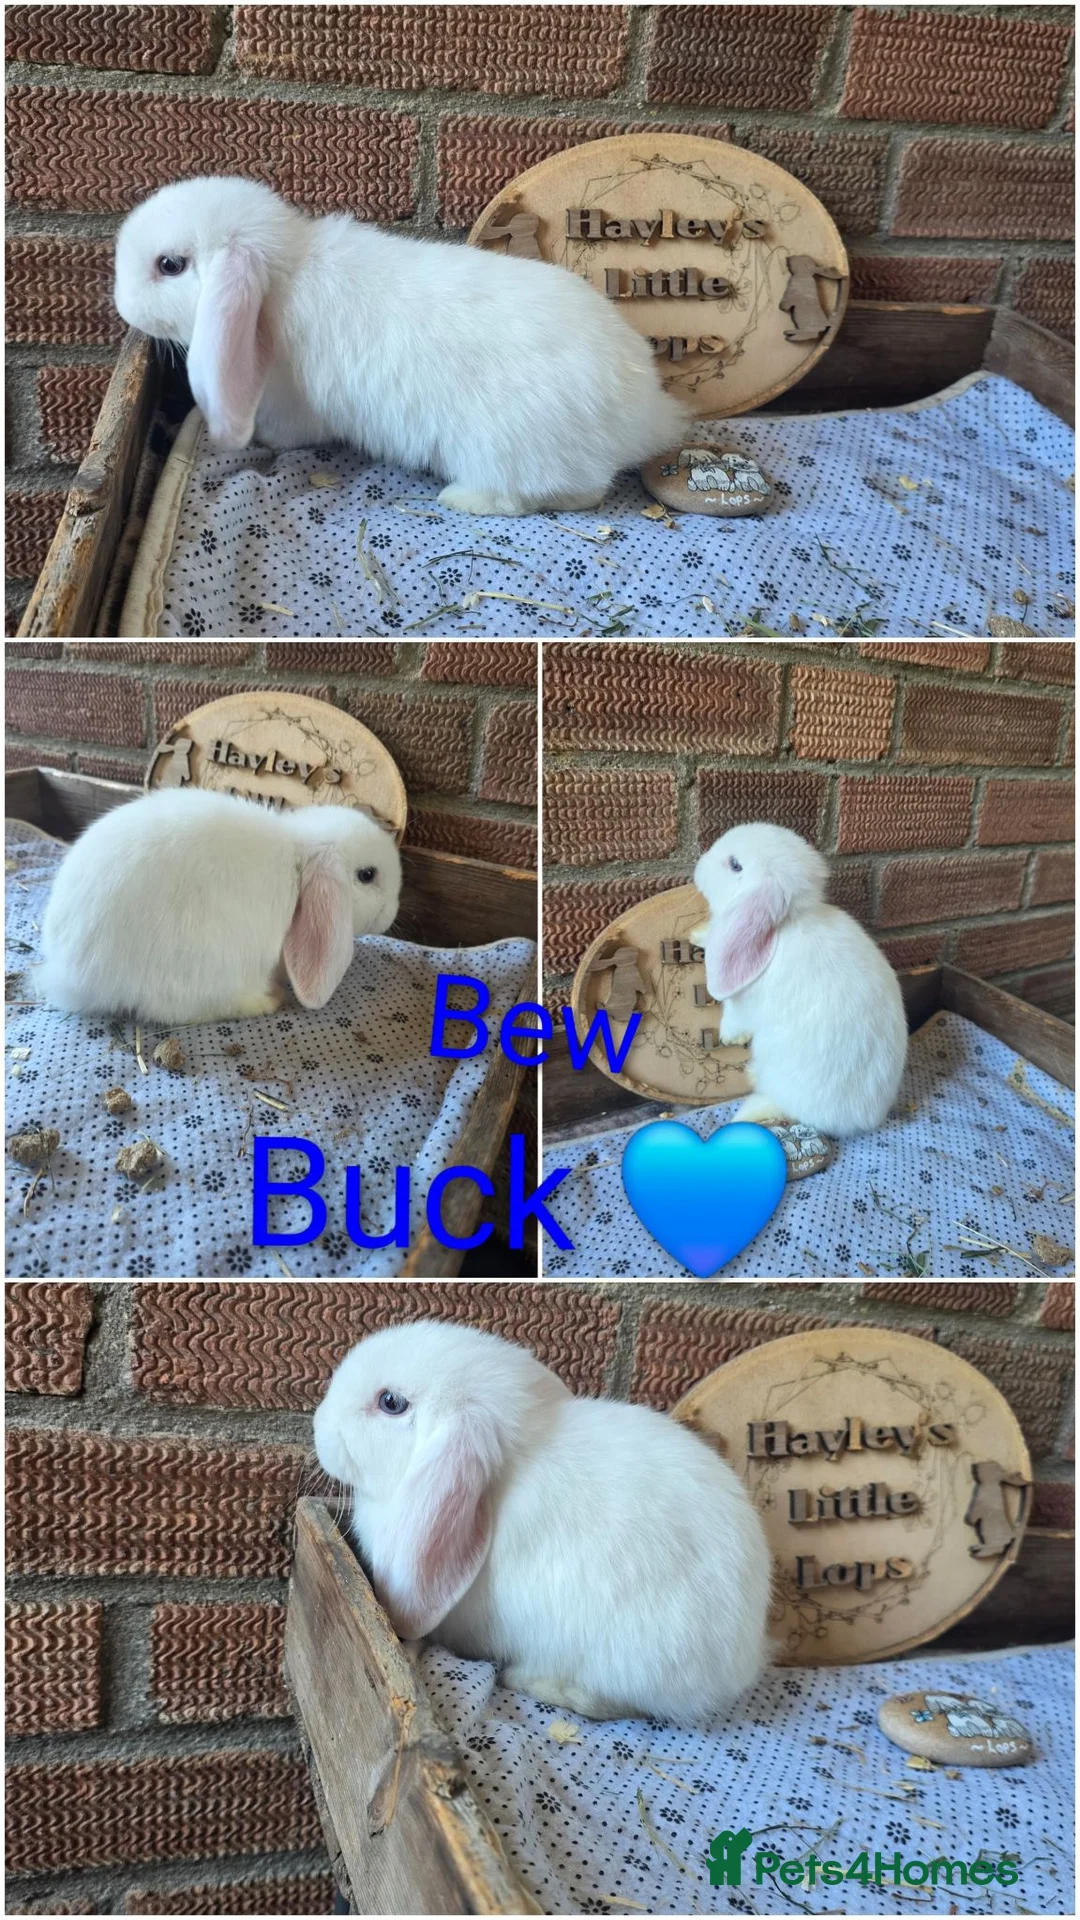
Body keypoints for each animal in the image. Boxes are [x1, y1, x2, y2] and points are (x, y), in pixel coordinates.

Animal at [38, 786, 401, 1024]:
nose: (392, 913)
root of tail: (71, 975)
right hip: (201, 966)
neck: (298, 865)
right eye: (367, 875)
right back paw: (268, 1001)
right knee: (175, 1012)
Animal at [113, 174, 690, 516]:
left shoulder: (291, 406)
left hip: (507, 448)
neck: (281, 277)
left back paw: (462, 498)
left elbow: (288, 435)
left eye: (170, 265)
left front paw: (261, 443)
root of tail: (646, 416)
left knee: (571, 492)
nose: (122, 306)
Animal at [690, 821, 907, 1137]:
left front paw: (729, 1036)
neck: (787, 923)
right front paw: (697, 935)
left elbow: (732, 1014)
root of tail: (867, 1118)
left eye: (735, 865)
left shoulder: (744, 1000)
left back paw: (749, 1105)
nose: (698, 868)